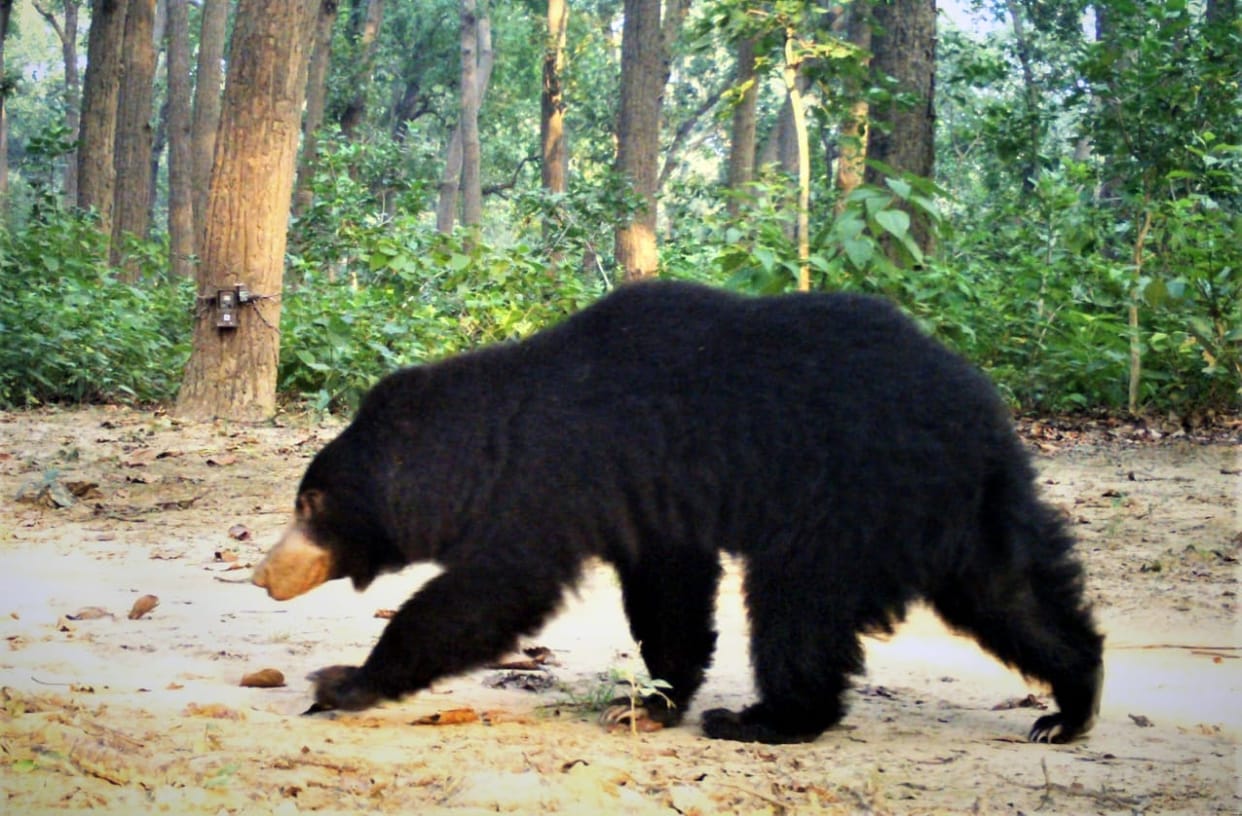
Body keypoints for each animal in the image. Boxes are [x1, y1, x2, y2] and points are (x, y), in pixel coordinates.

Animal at [252, 279, 1104, 745]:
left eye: (309, 501)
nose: (263, 574)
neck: (495, 435)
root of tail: (982, 417)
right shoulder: (647, 498)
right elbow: (670, 594)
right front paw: (650, 703)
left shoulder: (555, 478)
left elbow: (492, 592)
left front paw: (342, 682)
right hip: (958, 509)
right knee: (1013, 593)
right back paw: (1070, 703)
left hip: (844, 497)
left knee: (797, 607)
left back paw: (768, 718)